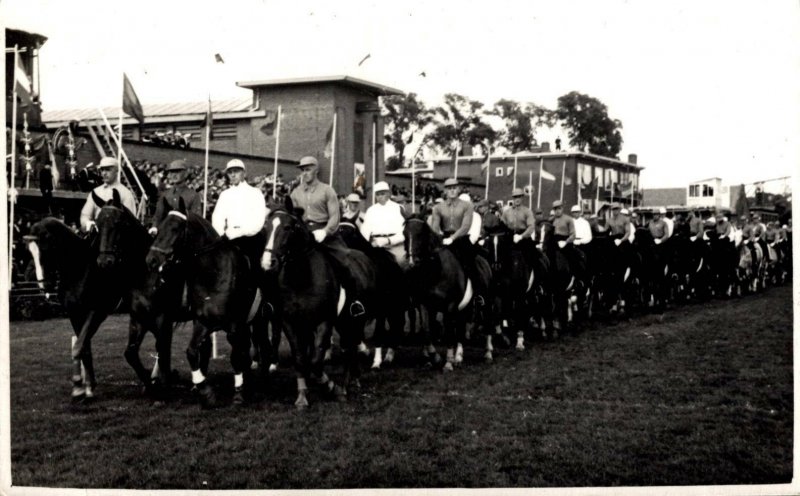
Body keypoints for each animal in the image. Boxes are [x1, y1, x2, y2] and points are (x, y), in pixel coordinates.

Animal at [24, 216, 124, 400]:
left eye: (46, 248)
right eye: (30, 251)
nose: (44, 285)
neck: (79, 269)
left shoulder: (96, 313)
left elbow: (78, 346)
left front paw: (78, 386)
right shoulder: (75, 314)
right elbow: (84, 347)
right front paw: (89, 387)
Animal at [144, 204, 268, 406]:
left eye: (175, 229)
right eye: (158, 229)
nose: (151, 260)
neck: (214, 274)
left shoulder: (233, 325)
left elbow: (235, 356)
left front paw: (239, 393)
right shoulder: (203, 322)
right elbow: (192, 351)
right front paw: (205, 391)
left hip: (259, 321)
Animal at [260, 200, 376, 408]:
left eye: (287, 228)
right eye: (266, 228)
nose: (268, 263)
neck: (301, 278)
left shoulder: (324, 321)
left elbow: (316, 361)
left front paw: (331, 388)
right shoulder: (290, 323)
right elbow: (300, 358)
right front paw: (302, 396)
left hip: (355, 320)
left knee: (350, 347)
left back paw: (346, 385)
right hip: (342, 322)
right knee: (348, 347)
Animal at [334, 221, 410, 368]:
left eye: (348, 232)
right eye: (338, 230)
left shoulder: (381, 310)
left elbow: (378, 334)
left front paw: (376, 362)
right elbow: (351, 331)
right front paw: (362, 350)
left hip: (395, 308)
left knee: (396, 327)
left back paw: (389, 356)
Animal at [406, 215, 494, 370]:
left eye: (421, 235)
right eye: (405, 234)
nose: (412, 263)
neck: (436, 272)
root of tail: (483, 260)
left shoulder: (450, 306)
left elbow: (448, 332)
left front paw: (447, 362)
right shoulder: (425, 305)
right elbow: (427, 330)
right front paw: (435, 357)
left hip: (486, 302)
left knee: (487, 323)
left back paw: (488, 354)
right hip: (464, 308)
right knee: (460, 326)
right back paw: (458, 356)